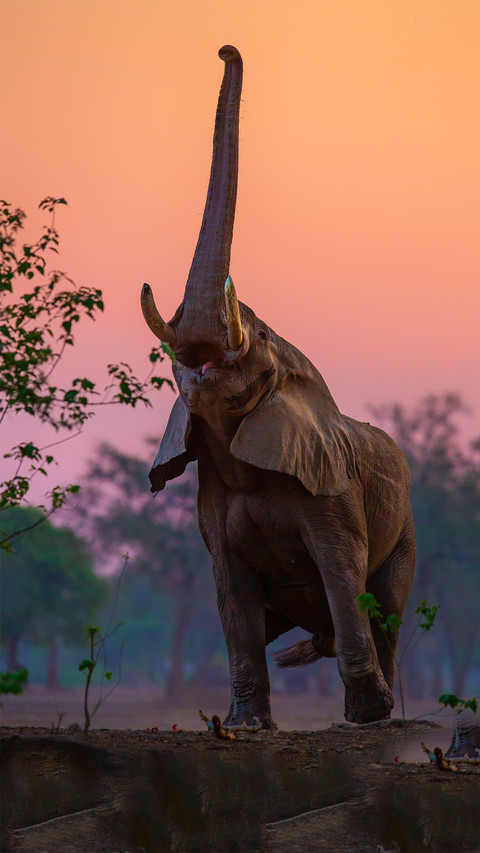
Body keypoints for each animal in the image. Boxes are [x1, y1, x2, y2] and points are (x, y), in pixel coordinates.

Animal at [140, 45, 415, 727]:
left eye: (256, 336)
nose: (226, 48)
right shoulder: (211, 503)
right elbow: (230, 593)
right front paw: (245, 725)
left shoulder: (331, 486)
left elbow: (342, 572)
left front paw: (366, 714)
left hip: (407, 528)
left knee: (387, 605)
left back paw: (383, 712)